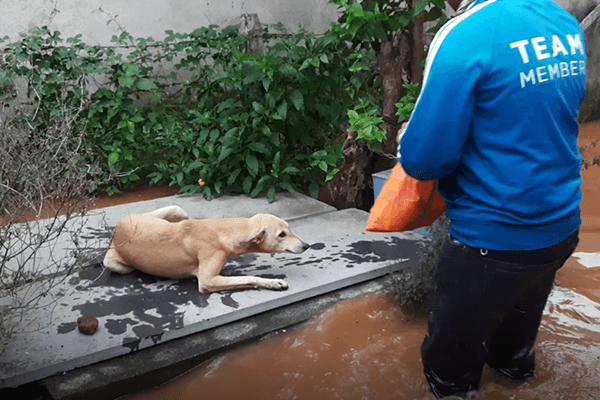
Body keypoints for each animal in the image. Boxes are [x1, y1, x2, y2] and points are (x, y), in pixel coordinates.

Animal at [103, 208, 310, 292]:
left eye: (289, 228)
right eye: (281, 234)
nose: (306, 245)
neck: (222, 231)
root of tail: (117, 227)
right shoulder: (207, 281)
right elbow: (249, 278)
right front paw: (273, 282)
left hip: (176, 210)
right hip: (113, 264)